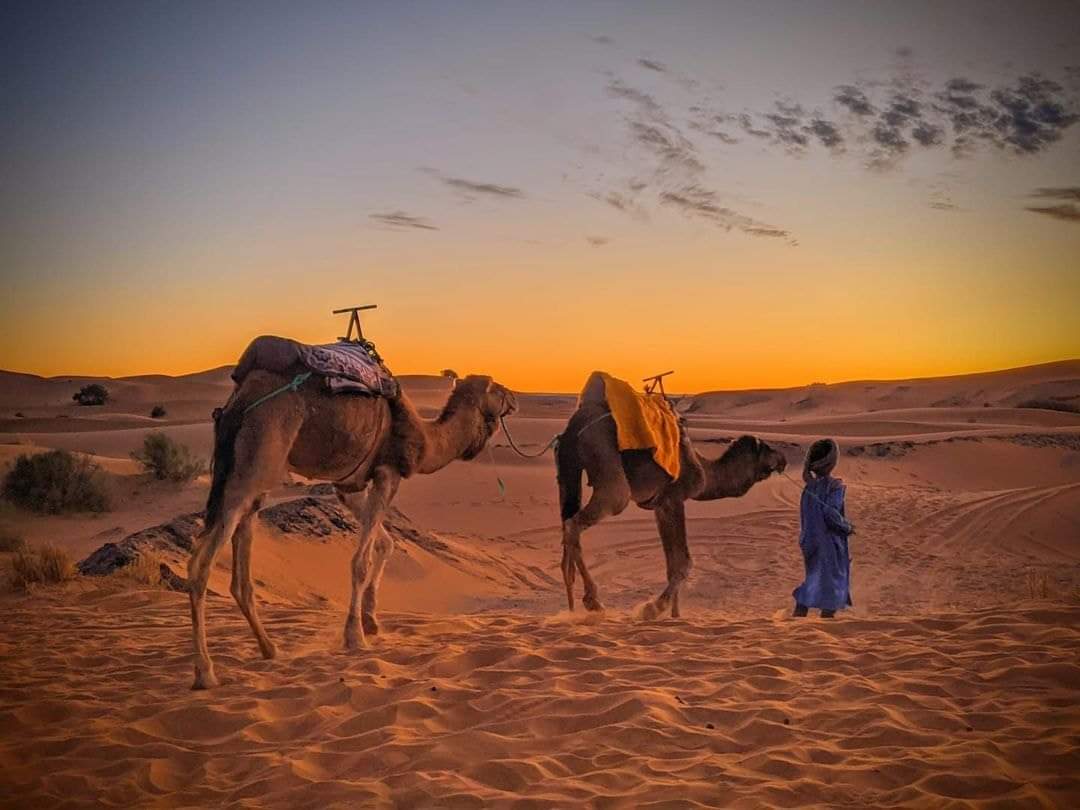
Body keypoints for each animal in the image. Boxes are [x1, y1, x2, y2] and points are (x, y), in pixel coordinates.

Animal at [189, 367, 514, 691]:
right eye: (496, 389)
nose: (513, 399)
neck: (424, 437)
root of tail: (239, 402)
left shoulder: (348, 486)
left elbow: (385, 544)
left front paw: (371, 621)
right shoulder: (388, 472)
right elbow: (360, 561)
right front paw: (355, 635)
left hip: (250, 475)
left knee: (239, 559)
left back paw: (269, 648)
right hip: (259, 456)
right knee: (200, 564)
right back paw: (205, 672)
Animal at [557, 373, 786, 622]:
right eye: (767, 448)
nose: (783, 459)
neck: (703, 468)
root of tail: (576, 423)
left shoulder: (660, 505)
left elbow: (672, 564)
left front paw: (675, 615)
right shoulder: (674, 498)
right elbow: (683, 562)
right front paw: (653, 608)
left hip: (569, 469)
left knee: (567, 521)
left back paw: (570, 604)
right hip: (606, 460)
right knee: (577, 522)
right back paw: (593, 601)